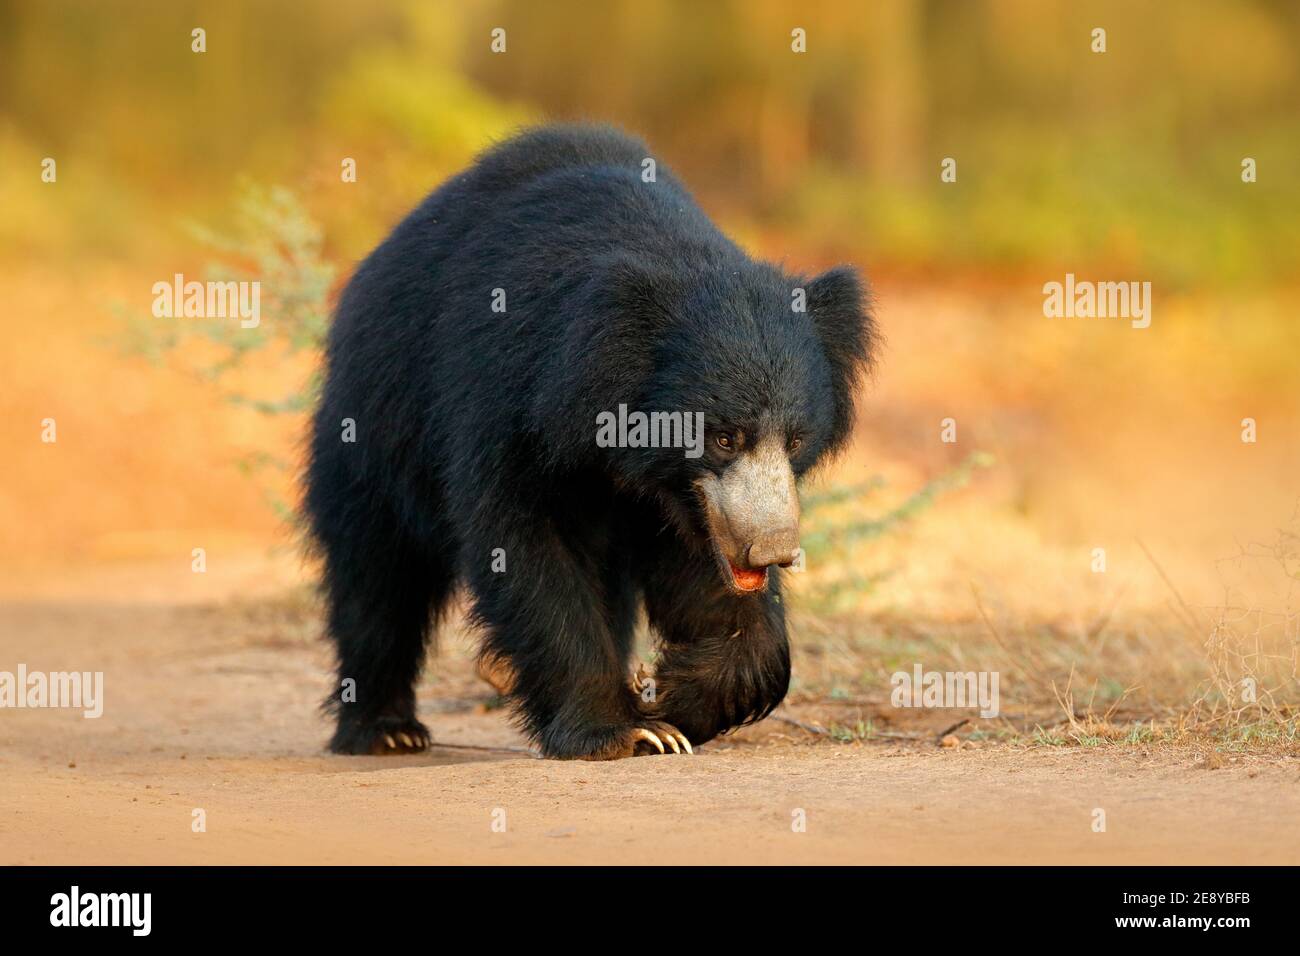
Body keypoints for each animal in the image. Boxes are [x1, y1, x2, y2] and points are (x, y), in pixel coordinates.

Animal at [304, 123, 873, 759]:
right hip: (372, 434)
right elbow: (526, 545)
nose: (772, 551)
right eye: (724, 437)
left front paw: (673, 696)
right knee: (378, 579)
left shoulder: (687, 498)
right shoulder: (507, 399)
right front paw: (625, 729)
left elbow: (703, 569)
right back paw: (386, 729)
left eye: (795, 440)